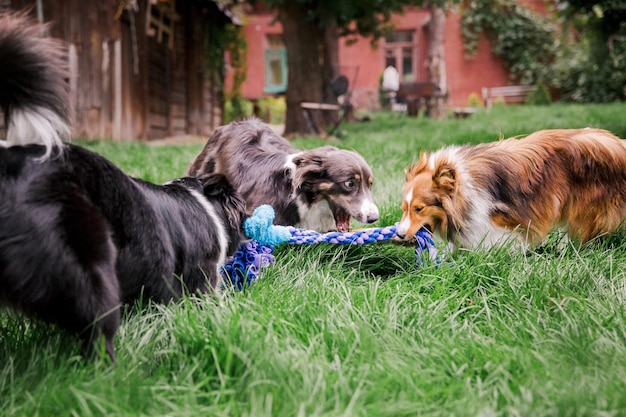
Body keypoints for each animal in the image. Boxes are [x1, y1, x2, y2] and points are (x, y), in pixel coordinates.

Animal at [398, 128, 624, 249]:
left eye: (419, 209)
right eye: (404, 209)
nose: (399, 234)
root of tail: (619, 144)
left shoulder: (498, 223)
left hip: (589, 211)